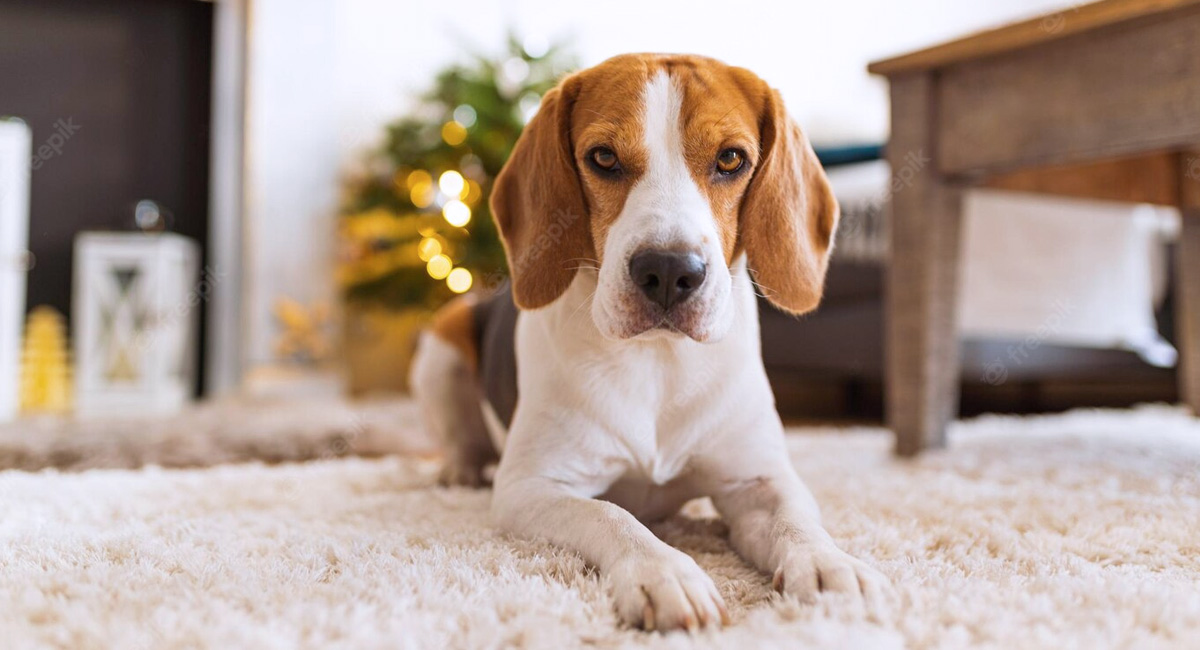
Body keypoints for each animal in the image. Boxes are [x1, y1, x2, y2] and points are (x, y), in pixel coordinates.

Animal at [412, 53, 892, 633]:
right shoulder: (532, 486)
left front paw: (827, 564)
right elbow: (612, 515)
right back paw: (458, 469)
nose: (667, 271)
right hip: (444, 338)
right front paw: (664, 573)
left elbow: (797, 521)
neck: (660, 364)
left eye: (730, 159)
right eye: (603, 157)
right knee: (460, 435)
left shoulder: (759, 480)